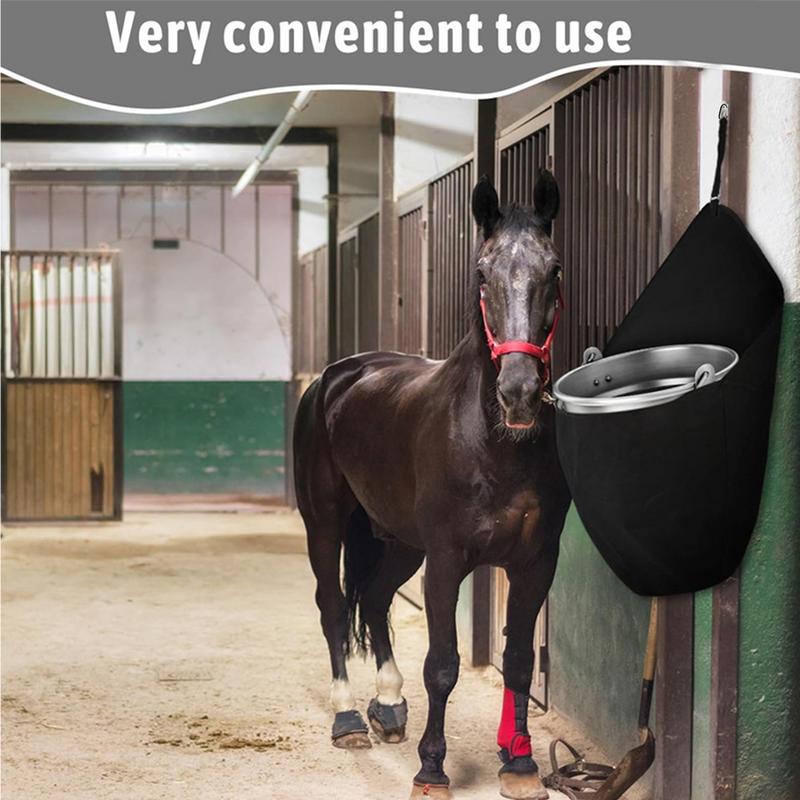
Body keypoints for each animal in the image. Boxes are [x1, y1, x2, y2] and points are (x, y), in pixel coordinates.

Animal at [293, 170, 571, 800]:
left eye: (554, 269)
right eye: (482, 273)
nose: (518, 392)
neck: (495, 445)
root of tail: (336, 377)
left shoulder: (536, 562)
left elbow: (520, 660)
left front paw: (520, 765)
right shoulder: (446, 561)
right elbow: (442, 665)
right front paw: (432, 769)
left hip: (398, 540)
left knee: (373, 601)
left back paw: (389, 703)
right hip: (325, 524)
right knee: (332, 606)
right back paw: (348, 717)